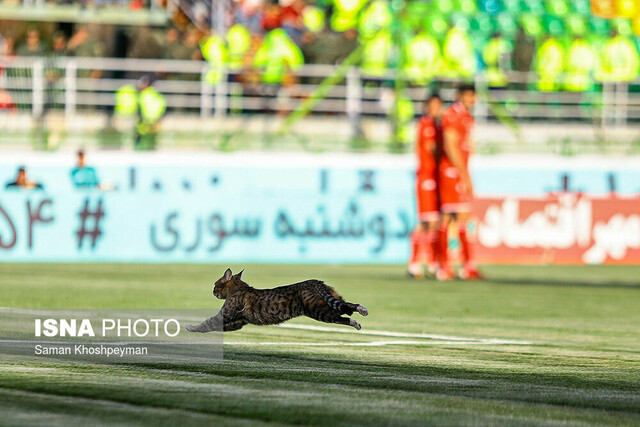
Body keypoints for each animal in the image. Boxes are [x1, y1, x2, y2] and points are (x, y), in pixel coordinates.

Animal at [185, 268, 368, 334]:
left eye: (215, 285)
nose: (213, 291)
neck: (239, 288)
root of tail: (314, 281)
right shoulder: (238, 321)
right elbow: (216, 327)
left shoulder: (225, 315)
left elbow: (207, 323)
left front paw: (191, 327)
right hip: (331, 300)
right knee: (347, 307)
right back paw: (362, 311)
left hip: (318, 310)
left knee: (344, 315)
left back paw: (358, 318)